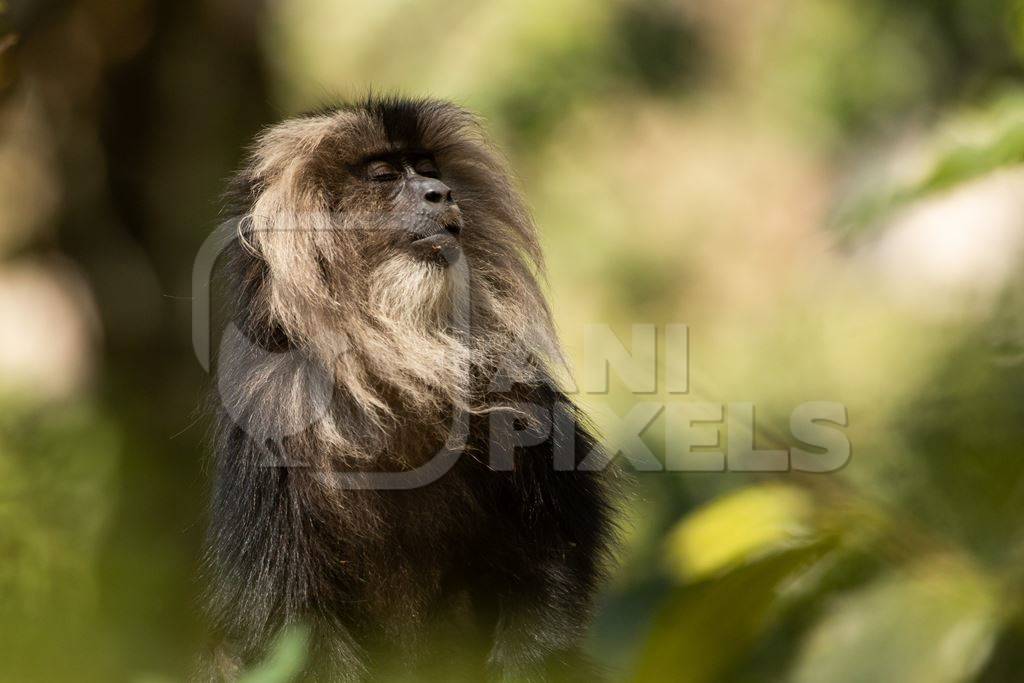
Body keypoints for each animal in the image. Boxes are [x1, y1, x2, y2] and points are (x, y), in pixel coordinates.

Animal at [203, 97, 610, 683]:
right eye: (384, 175)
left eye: (428, 167)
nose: (440, 194)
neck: (389, 369)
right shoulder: (271, 408)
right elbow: (287, 619)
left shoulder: (517, 394)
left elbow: (554, 551)